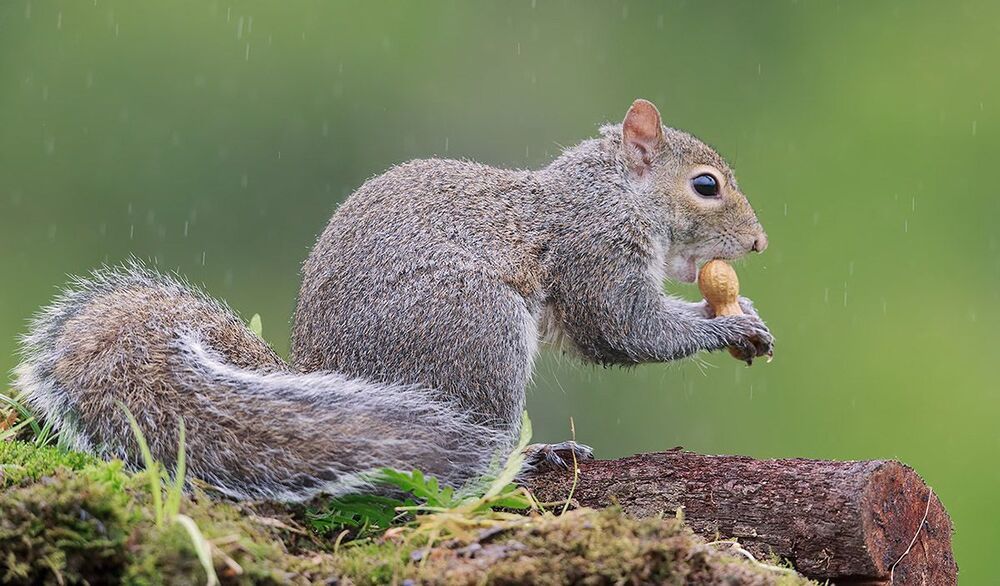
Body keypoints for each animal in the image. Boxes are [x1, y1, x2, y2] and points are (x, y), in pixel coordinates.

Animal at [14, 99, 773, 502]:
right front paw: (724, 327)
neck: (611, 192)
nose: (759, 242)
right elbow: (627, 330)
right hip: (477, 332)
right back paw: (527, 458)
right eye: (706, 186)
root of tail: (318, 374)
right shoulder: (594, 253)